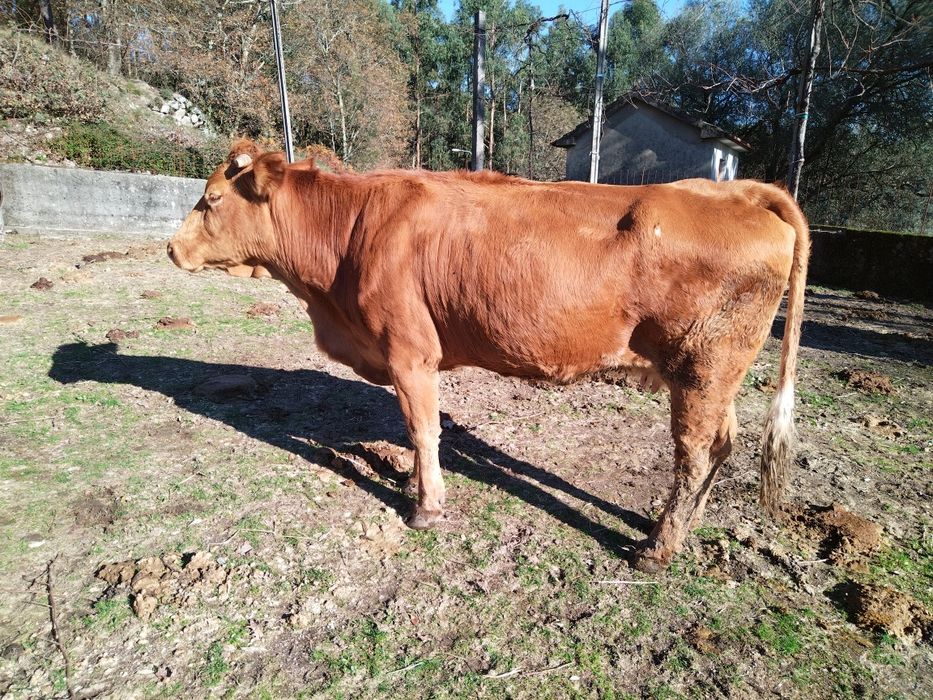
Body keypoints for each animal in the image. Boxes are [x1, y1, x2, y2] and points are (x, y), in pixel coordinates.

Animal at [167, 139, 809, 573]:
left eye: (211, 199)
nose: (171, 247)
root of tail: (735, 189)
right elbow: (414, 430)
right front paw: (413, 483)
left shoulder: (409, 353)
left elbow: (422, 428)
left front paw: (426, 506)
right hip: (713, 375)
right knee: (722, 444)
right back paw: (685, 524)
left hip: (702, 370)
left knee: (694, 454)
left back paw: (659, 546)